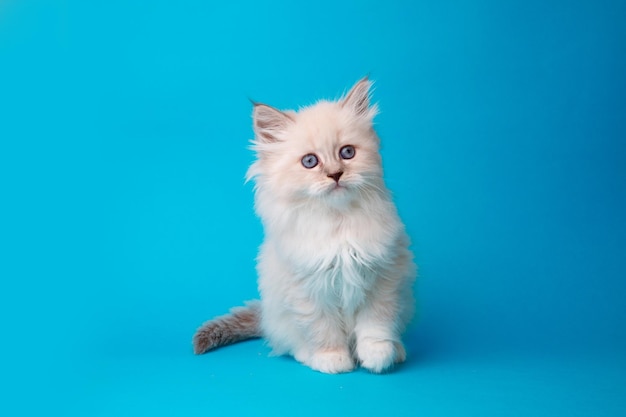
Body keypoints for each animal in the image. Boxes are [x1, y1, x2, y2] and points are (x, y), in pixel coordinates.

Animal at [190, 78, 414, 374]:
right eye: (310, 161)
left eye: (347, 153)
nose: (335, 174)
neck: (338, 222)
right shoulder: (308, 288)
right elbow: (323, 329)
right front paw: (334, 360)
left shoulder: (383, 276)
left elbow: (375, 324)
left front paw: (377, 355)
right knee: (291, 342)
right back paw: (309, 355)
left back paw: (397, 350)